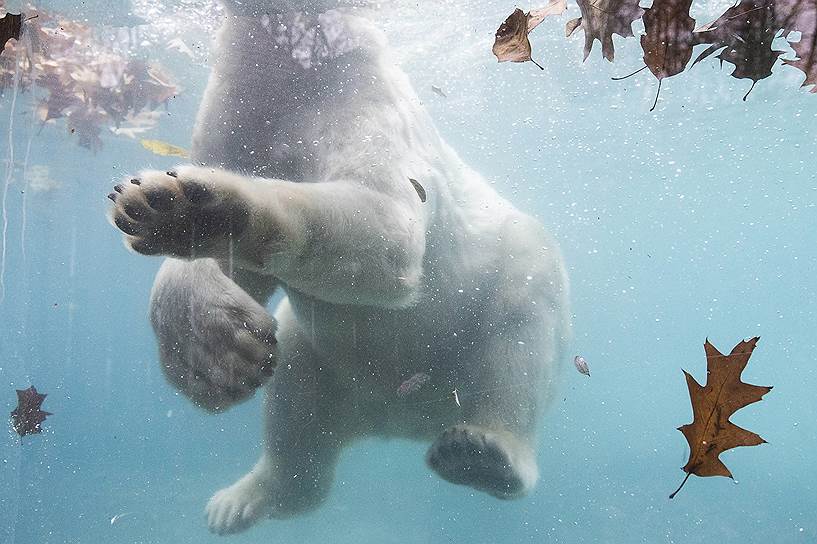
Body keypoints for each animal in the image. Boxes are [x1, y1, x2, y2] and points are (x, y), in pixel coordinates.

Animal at [107, 0, 568, 536]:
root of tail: (400, 419)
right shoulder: (238, 109)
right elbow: (233, 276)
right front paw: (210, 351)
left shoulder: (358, 92)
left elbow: (386, 222)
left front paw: (202, 210)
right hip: (330, 363)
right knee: (294, 396)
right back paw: (242, 500)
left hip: (504, 288)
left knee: (520, 335)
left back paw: (483, 453)